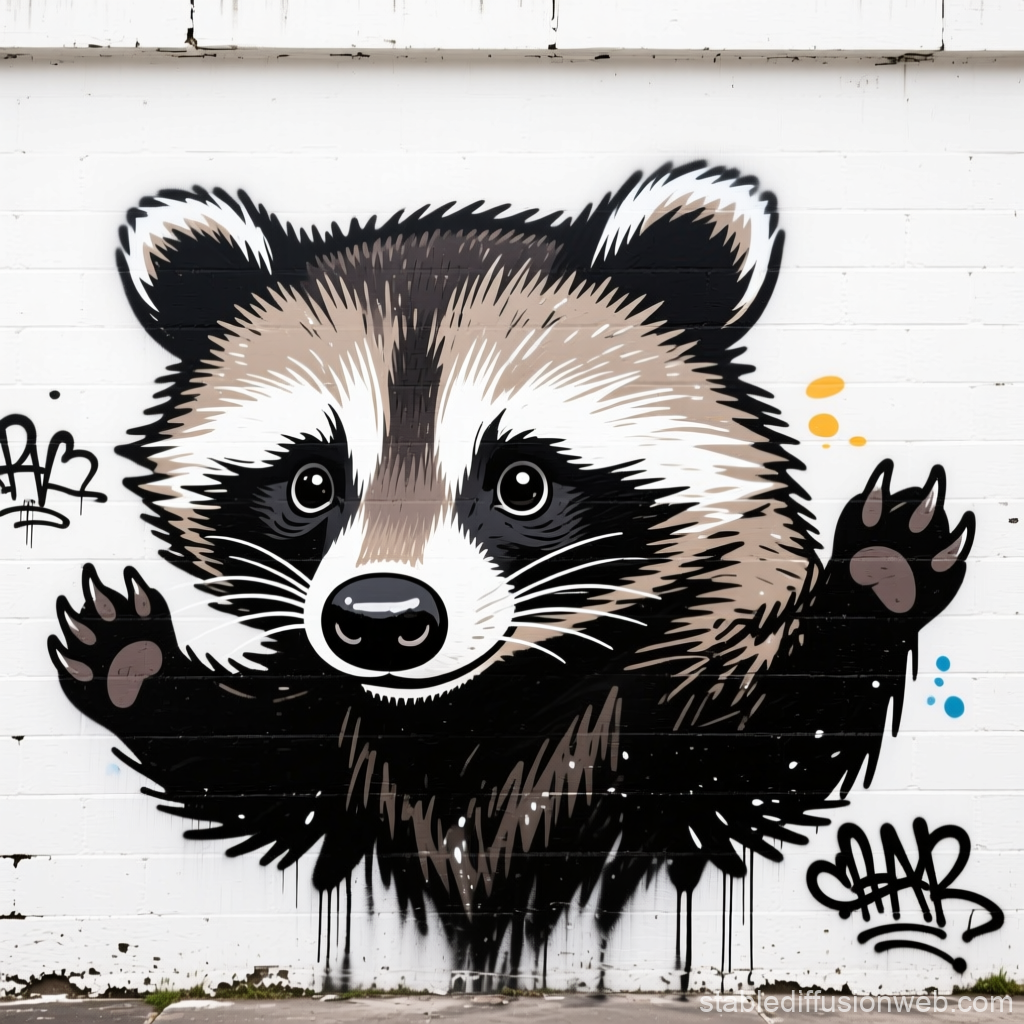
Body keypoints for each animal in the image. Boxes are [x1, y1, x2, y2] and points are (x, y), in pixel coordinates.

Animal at [51, 163, 973, 976]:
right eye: (311, 482)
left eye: (522, 482)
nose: (381, 621)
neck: (472, 711)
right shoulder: (336, 738)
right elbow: (254, 765)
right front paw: (140, 667)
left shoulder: (659, 701)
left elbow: (767, 747)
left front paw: (874, 580)